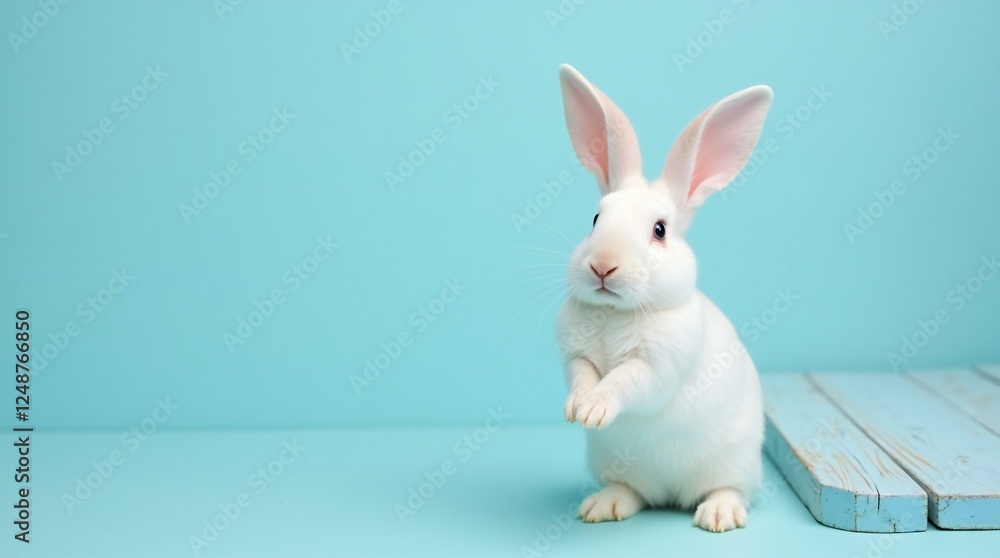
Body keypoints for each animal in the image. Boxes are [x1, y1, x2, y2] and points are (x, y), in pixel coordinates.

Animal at [554, 64, 772, 533]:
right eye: (595, 219)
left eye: (660, 230)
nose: (603, 266)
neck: (615, 312)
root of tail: (673, 494)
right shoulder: (574, 355)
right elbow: (583, 374)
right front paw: (577, 407)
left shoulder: (658, 367)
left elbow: (624, 380)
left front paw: (595, 410)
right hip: (612, 464)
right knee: (634, 492)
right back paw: (602, 505)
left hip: (736, 463)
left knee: (728, 490)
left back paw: (718, 515)